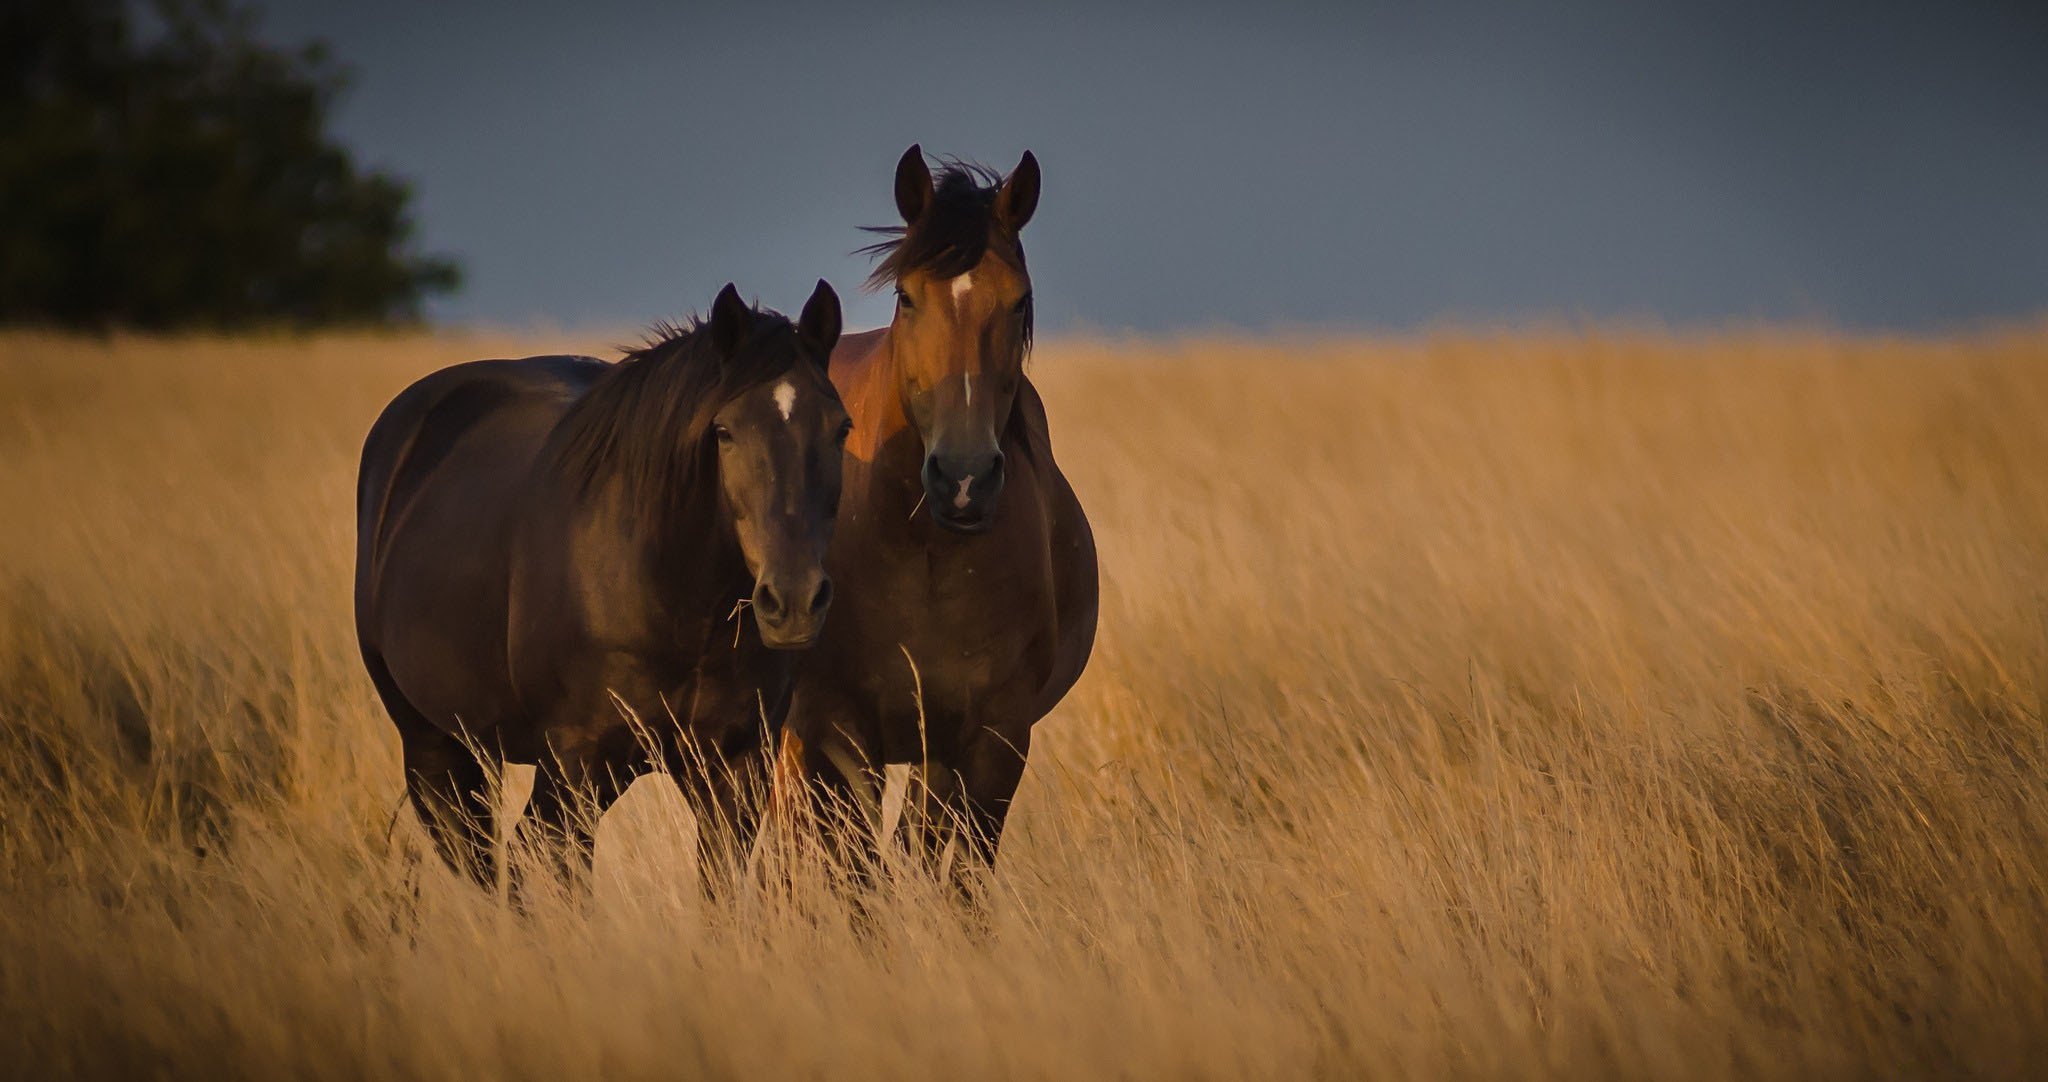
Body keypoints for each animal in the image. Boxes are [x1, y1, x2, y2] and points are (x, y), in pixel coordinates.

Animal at [354, 281, 849, 894]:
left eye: (841, 428)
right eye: (724, 431)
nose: (794, 602)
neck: (675, 600)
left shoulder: (735, 767)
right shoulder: (577, 765)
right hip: (433, 748)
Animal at [775, 147, 1099, 895]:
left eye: (1018, 300)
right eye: (907, 296)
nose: (963, 478)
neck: (921, 551)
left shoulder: (991, 741)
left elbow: (960, 882)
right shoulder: (838, 731)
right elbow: (854, 881)